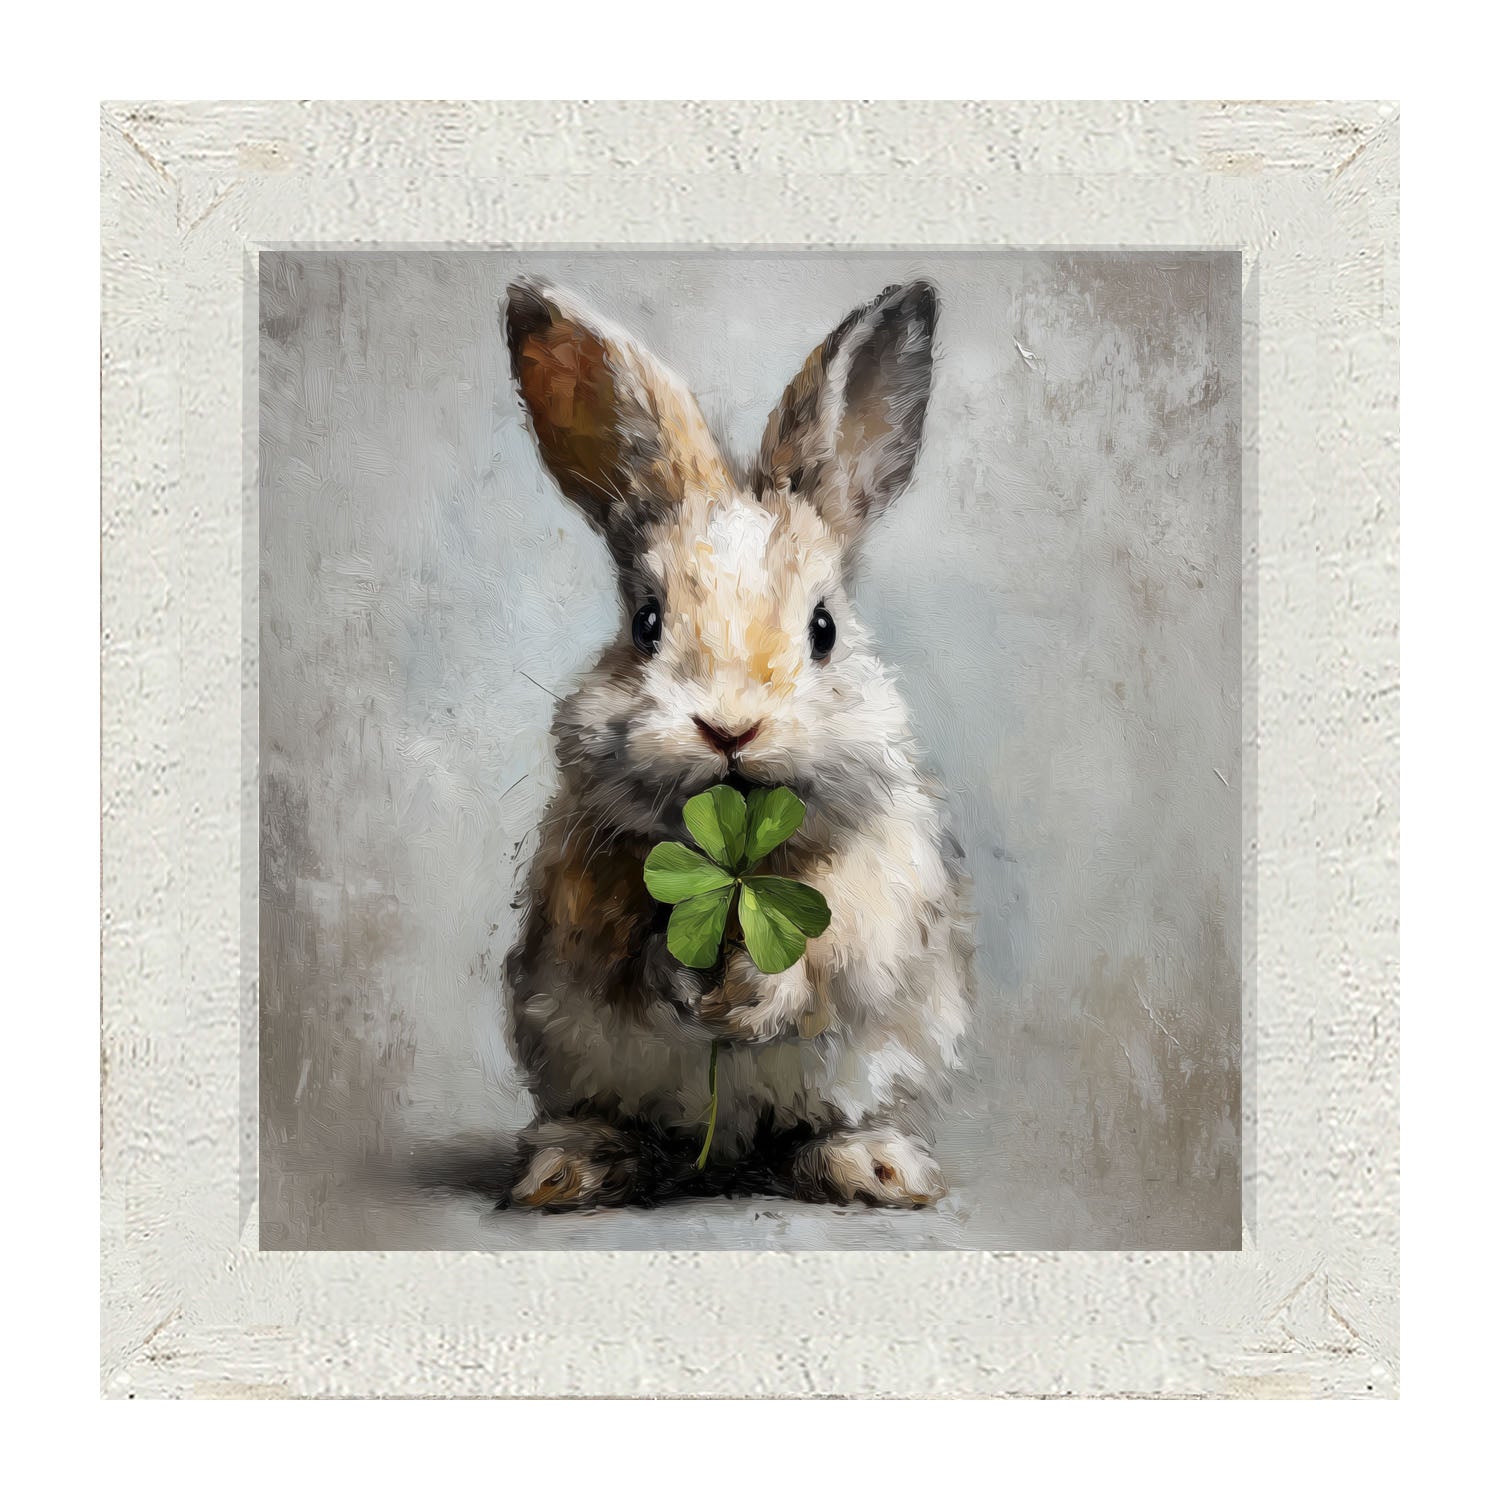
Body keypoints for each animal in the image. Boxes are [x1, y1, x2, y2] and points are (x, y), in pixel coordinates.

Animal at [500, 276, 974, 1211]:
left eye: (824, 629)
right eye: (646, 624)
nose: (730, 727)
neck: (741, 864)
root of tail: (727, 1152)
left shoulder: (879, 885)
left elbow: (832, 947)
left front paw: (752, 995)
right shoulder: (583, 890)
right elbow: (626, 950)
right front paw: (688, 984)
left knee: (827, 1123)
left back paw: (876, 1166)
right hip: (571, 1057)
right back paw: (572, 1168)